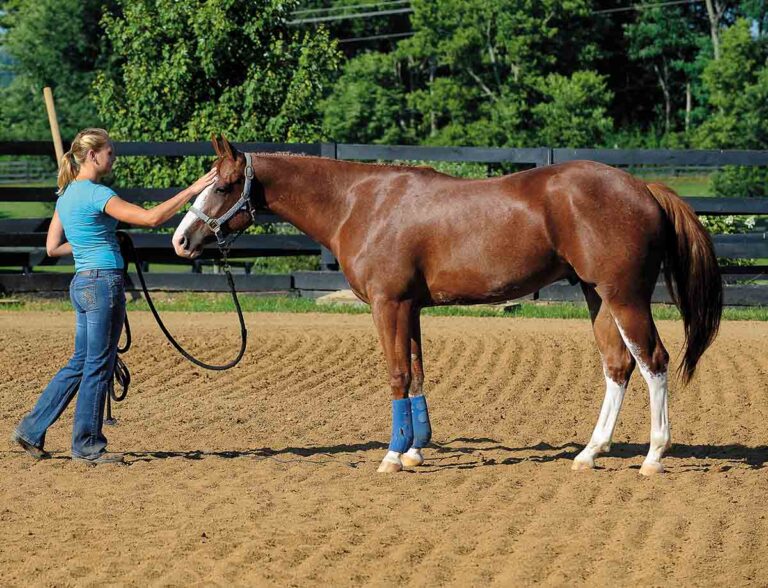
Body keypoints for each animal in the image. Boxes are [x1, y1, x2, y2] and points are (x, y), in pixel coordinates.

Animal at [172, 136, 722, 476]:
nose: (180, 240)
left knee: (653, 362)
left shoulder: (388, 305)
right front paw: (415, 449)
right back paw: (590, 452)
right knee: (617, 365)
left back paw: (653, 456)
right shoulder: (411, 308)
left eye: (223, 186)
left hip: (624, 296)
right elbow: (417, 372)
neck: (361, 204)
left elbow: (397, 373)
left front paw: (392, 456)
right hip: (597, 296)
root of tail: (643, 187)